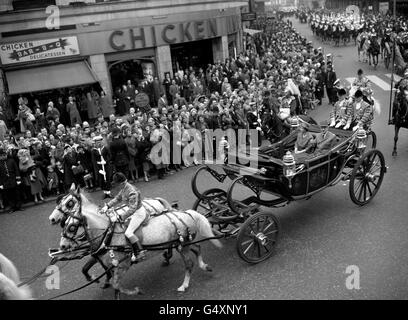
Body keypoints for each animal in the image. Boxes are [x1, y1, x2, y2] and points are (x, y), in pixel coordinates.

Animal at [49, 185, 222, 300]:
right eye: (64, 224)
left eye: (69, 203)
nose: (62, 246)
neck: (109, 233)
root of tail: (186, 214)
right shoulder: (102, 257)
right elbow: (105, 277)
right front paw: (101, 280)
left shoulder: (122, 264)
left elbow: (116, 284)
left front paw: (135, 291)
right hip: (184, 243)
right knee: (197, 248)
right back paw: (203, 266)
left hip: (182, 244)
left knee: (189, 264)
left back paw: (183, 283)